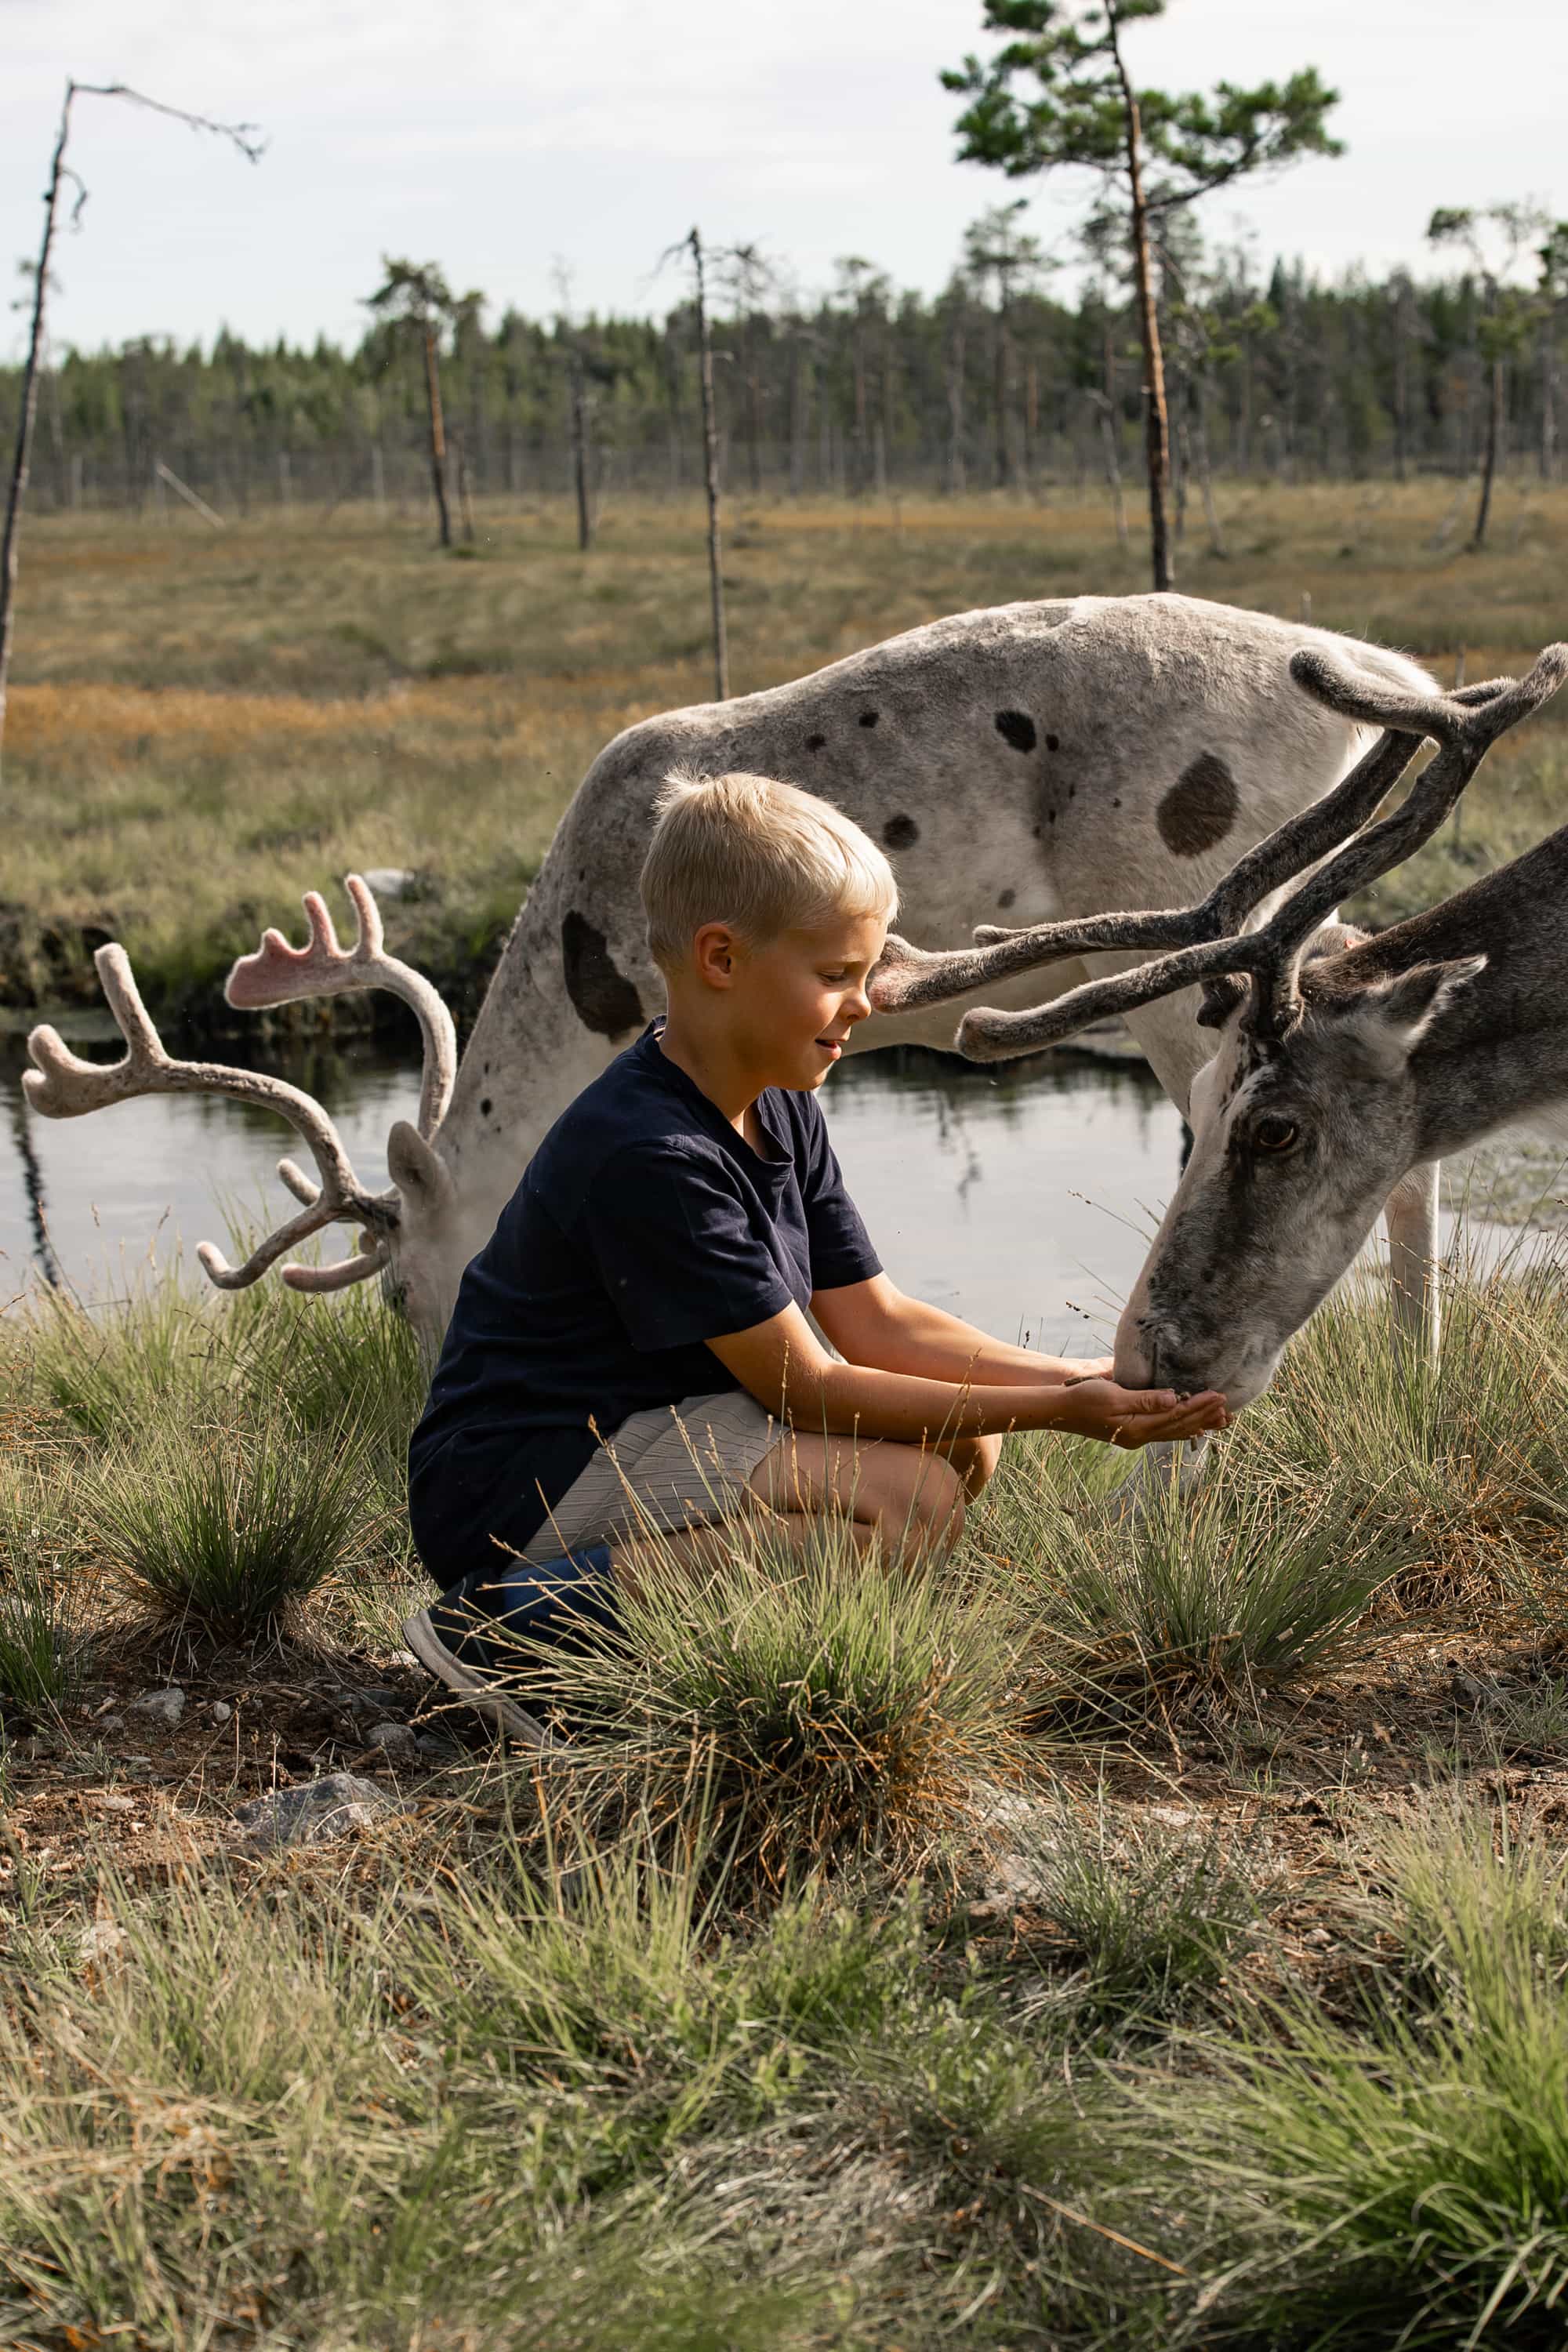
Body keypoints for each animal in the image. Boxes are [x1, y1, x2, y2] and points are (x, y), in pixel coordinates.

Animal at [24, 592, 1451, 1356]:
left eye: (399, 1288)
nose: (423, 1374)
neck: (591, 986)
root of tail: (1389, 671)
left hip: (1189, 942)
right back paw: (1412, 1362)